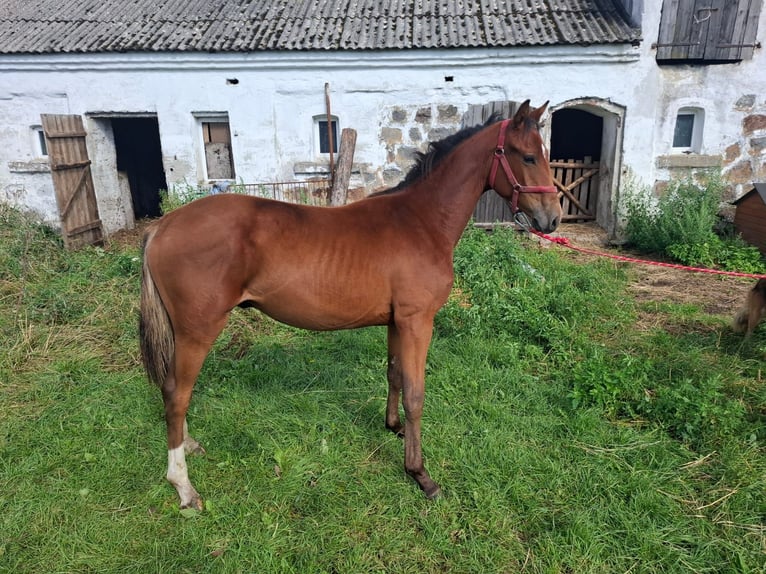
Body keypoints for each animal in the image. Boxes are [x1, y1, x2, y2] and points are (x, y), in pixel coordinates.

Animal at [140, 100, 562, 510]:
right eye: (527, 156)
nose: (553, 219)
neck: (421, 221)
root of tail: (163, 226)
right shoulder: (418, 321)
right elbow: (416, 394)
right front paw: (420, 474)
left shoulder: (396, 322)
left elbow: (394, 375)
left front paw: (393, 428)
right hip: (199, 329)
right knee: (177, 393)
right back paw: (183, 487)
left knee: (173, 390)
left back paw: (190, 446)